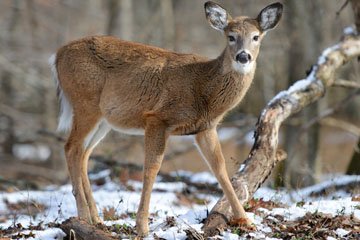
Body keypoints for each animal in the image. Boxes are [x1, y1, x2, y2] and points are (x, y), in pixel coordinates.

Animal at [50, 0, 282, 235]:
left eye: (256, 36)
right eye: (231, 36)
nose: (243, 57)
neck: (205, 89)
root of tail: (57, 55)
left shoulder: (205, 128)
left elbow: (220, 169)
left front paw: (246, 220)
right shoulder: (157, 118)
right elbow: (152, 168)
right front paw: (142, 227)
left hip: (104, 119)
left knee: (84, 154)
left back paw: (96, 218)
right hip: (85, 103)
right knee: (71, 148)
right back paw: (82, 216)